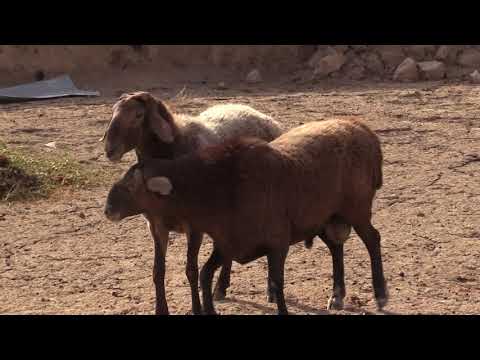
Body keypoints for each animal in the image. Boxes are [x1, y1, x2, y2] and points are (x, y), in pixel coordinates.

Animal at [104, 119, 386, 316]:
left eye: (131, 186)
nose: (107, 209)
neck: (222, 185)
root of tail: (362, 129)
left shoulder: (277, 244)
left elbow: (277, 284)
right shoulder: (227, 244)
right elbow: (205, 275)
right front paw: (209, 309)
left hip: (356, 209)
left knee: (373, 239)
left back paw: (380, 293)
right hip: (325, 217)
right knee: (335, 247)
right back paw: (337, 295)